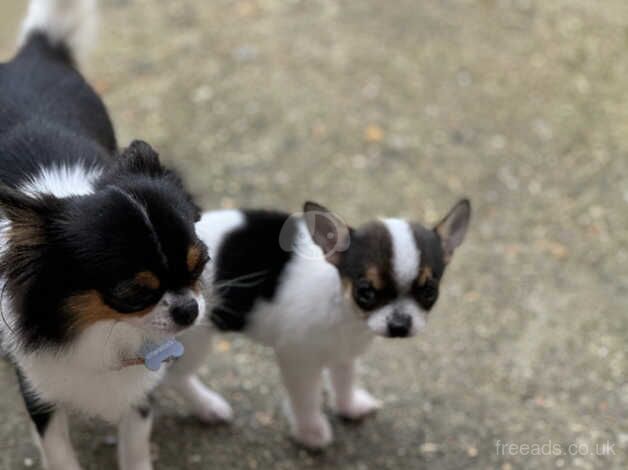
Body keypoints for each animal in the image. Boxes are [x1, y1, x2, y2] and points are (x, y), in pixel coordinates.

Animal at [0, 0, 231, 470]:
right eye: (132, 291)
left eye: (201, 264)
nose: (189, 309)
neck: (105, 328)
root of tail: (34, 51)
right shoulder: (39, 393)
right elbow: (59, 453)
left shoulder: (143, 386)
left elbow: (136, 441)